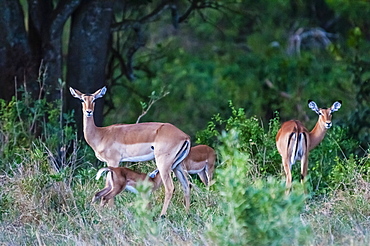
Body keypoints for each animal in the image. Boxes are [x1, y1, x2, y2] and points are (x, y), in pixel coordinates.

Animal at [69, 87, 191, 217]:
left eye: (94, 99)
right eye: (82, 99)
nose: (88, 111)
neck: (101, 134)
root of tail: (185, 136)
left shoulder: (113, 161)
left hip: (163, 163)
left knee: (170, 188)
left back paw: (161, 215)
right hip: (177, 165)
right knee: (186, 186)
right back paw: (186, 214)